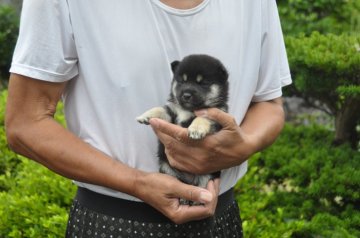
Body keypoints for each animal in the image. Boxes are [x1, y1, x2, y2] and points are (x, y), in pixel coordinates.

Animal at [136, 54, 229, 205]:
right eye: (182, 81)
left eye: (202, 83)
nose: (186, 95)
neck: (188, 109)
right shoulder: (171, 111)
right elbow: (160, 109)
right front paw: (146, 116)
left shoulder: (216, 116)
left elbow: (202, 118)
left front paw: (196, 129)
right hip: (168, 169)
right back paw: (184, 198)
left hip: (207, 175)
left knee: (200, 187)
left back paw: (196, 200)